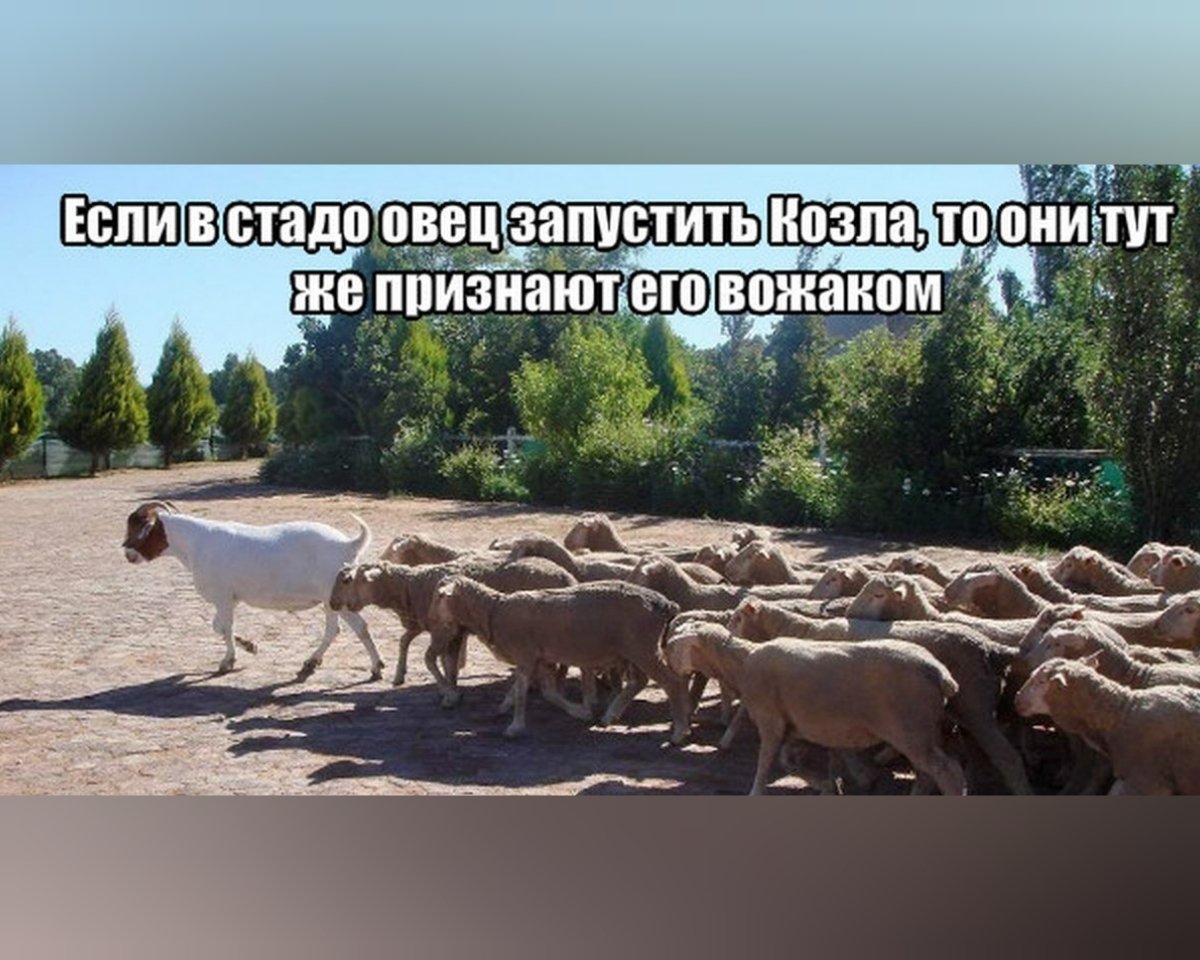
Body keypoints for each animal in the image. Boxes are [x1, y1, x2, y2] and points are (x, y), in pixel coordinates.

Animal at [122, 500, 384, 680]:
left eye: (139, 526)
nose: (127, 554)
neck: (195, 543)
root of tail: (349, 545)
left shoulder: (223, 597)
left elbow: (224, 627)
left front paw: (229, 660)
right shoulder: (231, 599)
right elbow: (220, 626)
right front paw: (248, 645)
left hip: (338, 598)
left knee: (360, 627)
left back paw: (376, 667)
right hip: (331, 601)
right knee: (333, 629)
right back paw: (311, 662)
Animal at [329, 555, 576, 695]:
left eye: (347, 580)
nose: (332, 603)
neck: (409, 586)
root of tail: (566, 576)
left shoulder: (443, 629)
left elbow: (432, 658)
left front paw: (448, 692)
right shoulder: (439, 627)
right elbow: (414, 645)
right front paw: (402, 675)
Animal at [425, 576, 691, 742]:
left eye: (438, 597)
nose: (430, 620)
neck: (494, 611)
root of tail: (665, 604)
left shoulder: (526, 655)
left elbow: (523, 693)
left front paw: (515, 727)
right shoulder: (540, 659)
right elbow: (547, 693)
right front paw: (580, 712)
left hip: (642, 648)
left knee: (672, 683)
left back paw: (679, 731)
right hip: (635, 650)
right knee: (643, 681)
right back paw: (611, 715)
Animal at [727, 598, 1030, 795]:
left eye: (738, 618)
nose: (729, 635)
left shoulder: (776, 720)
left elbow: (768, 761)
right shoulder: (814, 723)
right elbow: (808, 757)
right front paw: (841, 782)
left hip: (954, 716)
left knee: (986, 761)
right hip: (935, 725)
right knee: (942, 768)